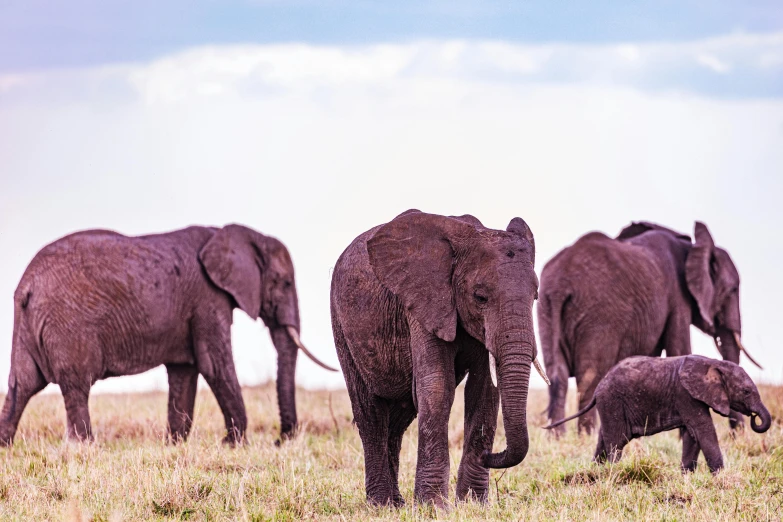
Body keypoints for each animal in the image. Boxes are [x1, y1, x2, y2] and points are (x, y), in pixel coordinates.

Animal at [0, 222, 334, 442]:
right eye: (285, 283)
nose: (281, 440)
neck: (241, 235)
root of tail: (27, 284)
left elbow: (184, 371)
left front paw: (176, 444)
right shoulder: (208, 299)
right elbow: (214, 365)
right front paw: (235, 444)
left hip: (28, 322)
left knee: (22, 384)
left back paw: (6, 445)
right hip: (69, 325)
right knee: (76, 385)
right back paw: (84, 446)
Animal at [328, 208, 548, 504]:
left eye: (535, 297)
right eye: (480, 297)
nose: (490, 455)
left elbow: (484, 390)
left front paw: (473, 504)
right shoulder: (424, 302)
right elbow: (437, 386)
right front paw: (432, 505)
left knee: (398, 419)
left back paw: (397, 504)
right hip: (341, 324)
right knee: (370, 414)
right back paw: (382, 504)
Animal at [536, 220, 764, 434]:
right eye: (732, 289)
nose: (738, 434)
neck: (692, 247)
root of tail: (559, 285)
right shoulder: (678, 297)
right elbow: (679, 350)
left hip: (546, 307)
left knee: (557, 374)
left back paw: (557, 437)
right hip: (598, 314)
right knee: (589, 376)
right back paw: (586, 436)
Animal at [544, 354, 772, 472]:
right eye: (746, 391)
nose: (754, 417)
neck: (714, 363)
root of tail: (598, 388)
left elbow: (692, 434)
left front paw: (686, 476)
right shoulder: (685, 394)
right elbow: (703, 429)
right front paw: (720, 476)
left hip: (610, 405)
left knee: (606, 437)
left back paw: (595, 472)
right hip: (612, 401)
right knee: (616, 440)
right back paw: (612, 473)